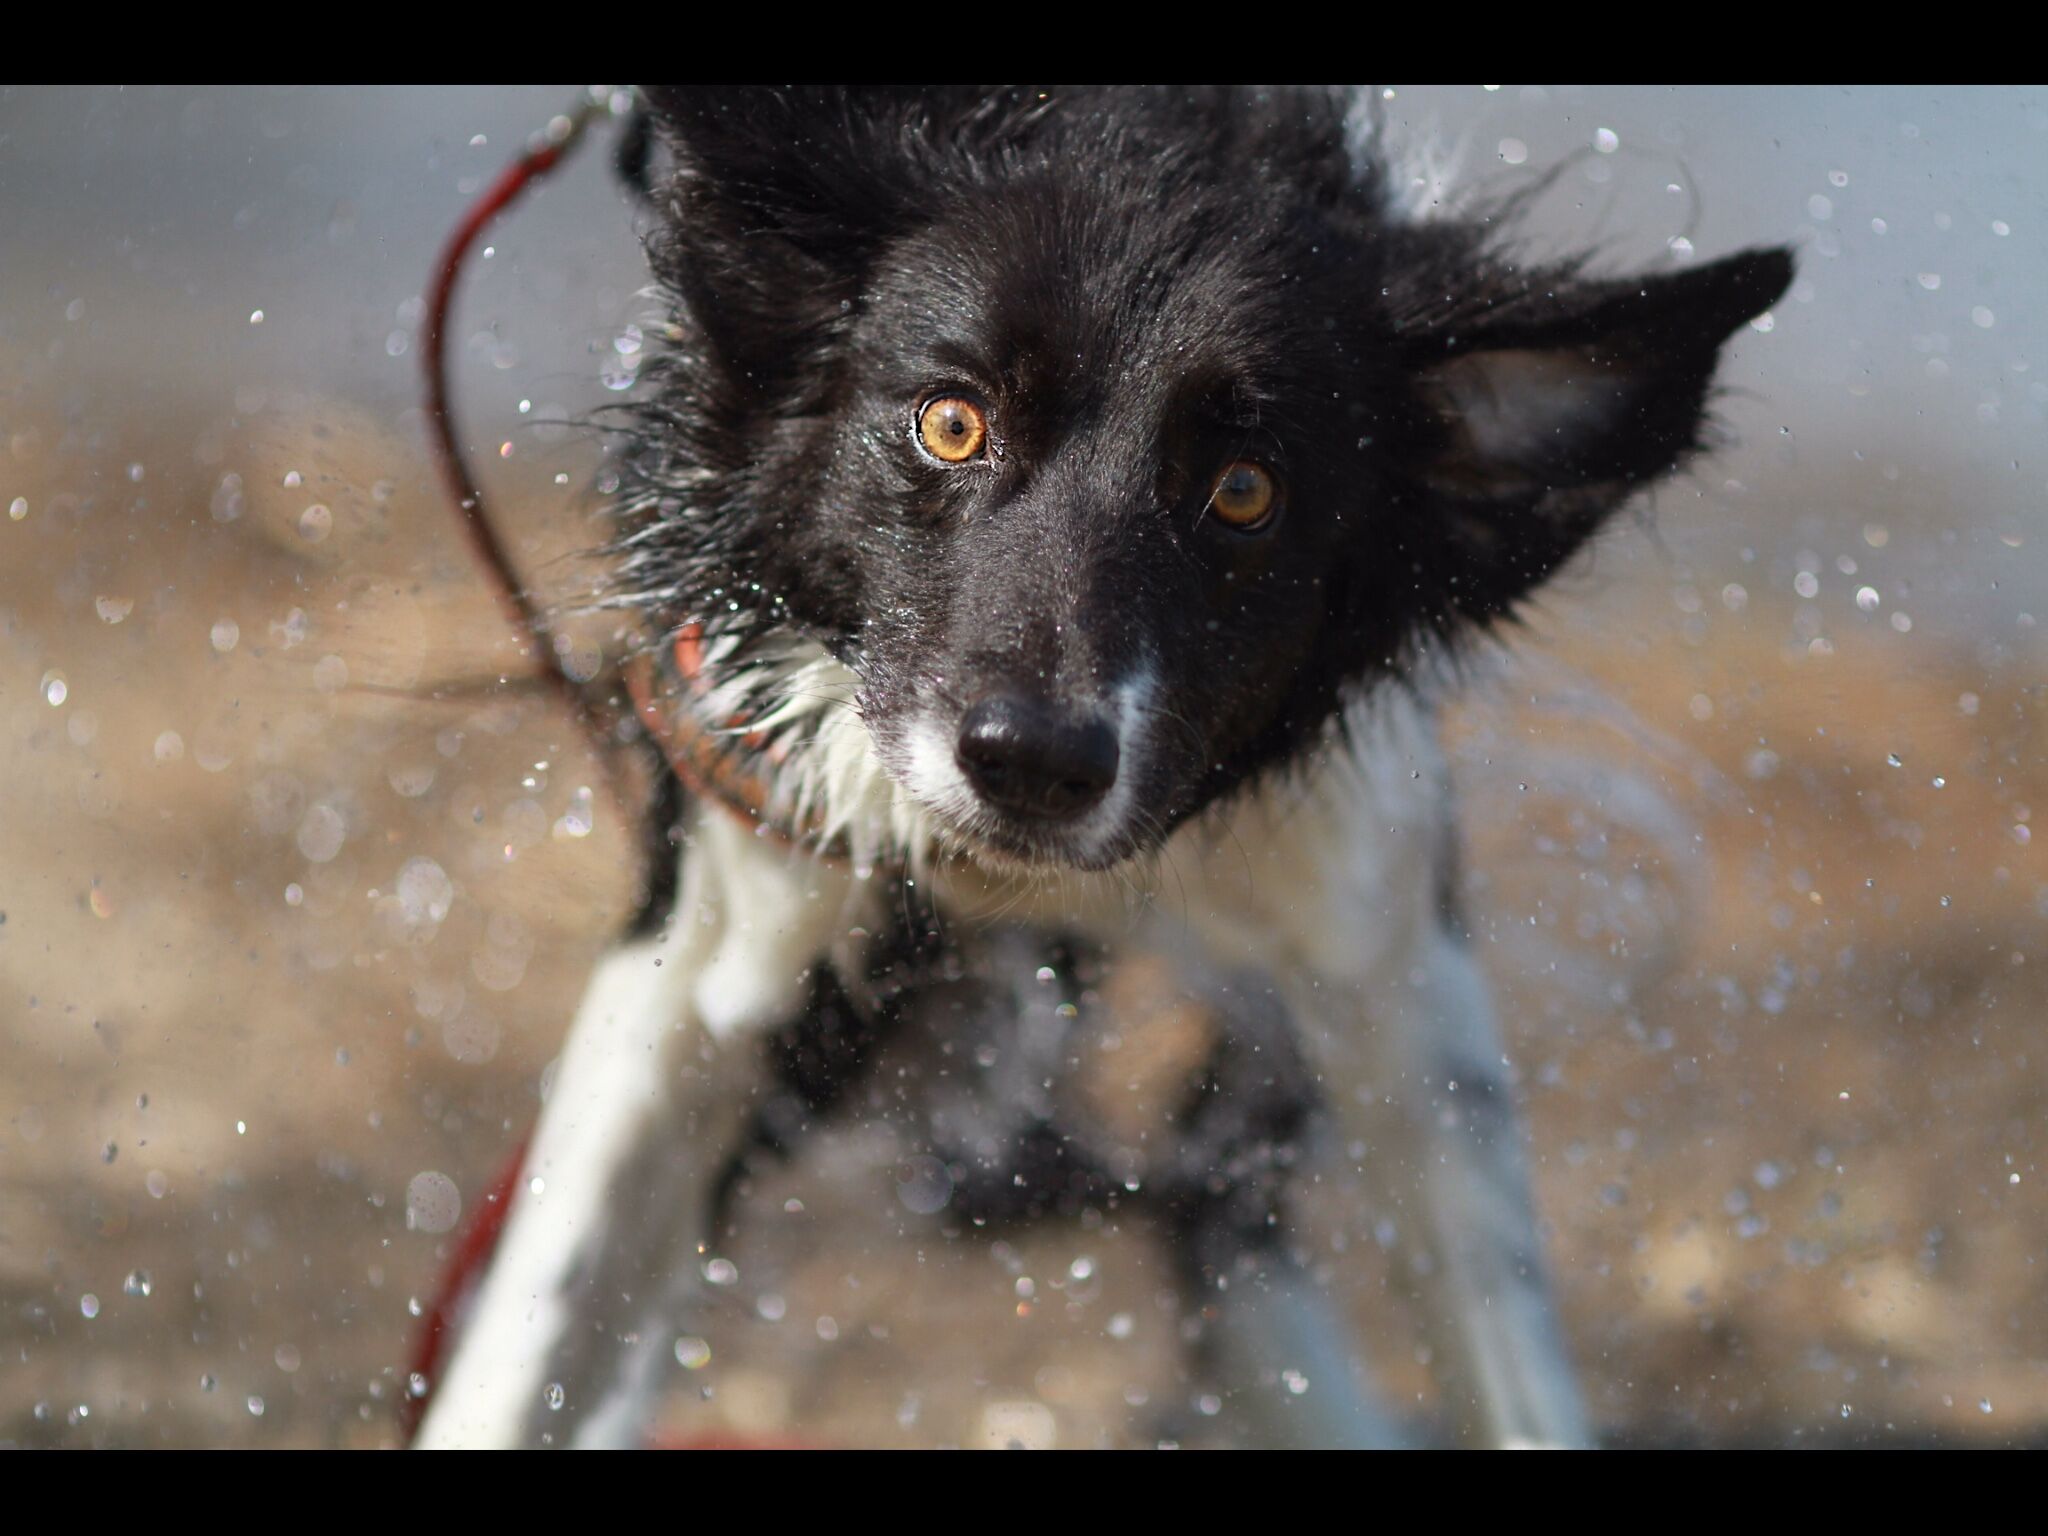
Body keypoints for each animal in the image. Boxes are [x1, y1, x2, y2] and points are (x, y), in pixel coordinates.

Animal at [415, 87, 1794, 1458]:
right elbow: (535, 1326)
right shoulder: (713, 907)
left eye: (1243, 492)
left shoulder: (1383, 949)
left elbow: (1488, 1331)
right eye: (951, 420)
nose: (1031, 763)